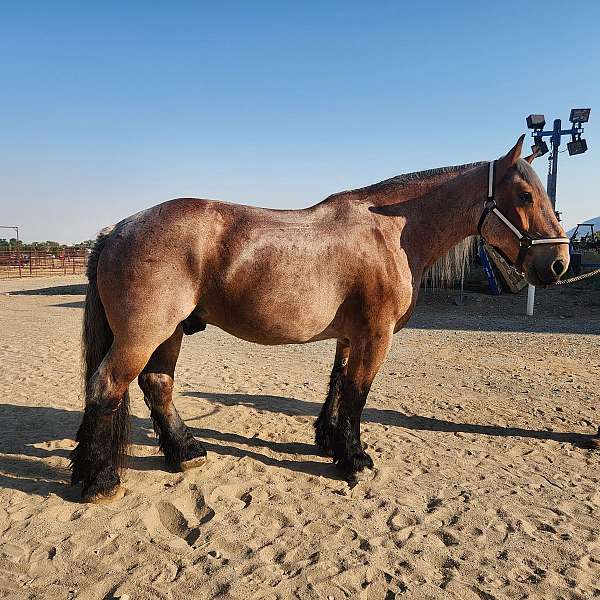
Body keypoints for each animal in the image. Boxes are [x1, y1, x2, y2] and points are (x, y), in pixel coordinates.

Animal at [71, 136, 572, 502]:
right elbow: (357, 395)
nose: (559, 264)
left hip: (170, 333)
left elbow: (337, 387)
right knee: (107, 387)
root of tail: (117, 229)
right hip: (143, 335)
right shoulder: (376, 336)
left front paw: (330, 442)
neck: (391, 233)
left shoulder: (351, 337)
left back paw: (185, 451)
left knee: (157, 385)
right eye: (525, 194)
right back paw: (100, 480)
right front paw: (354, 459)